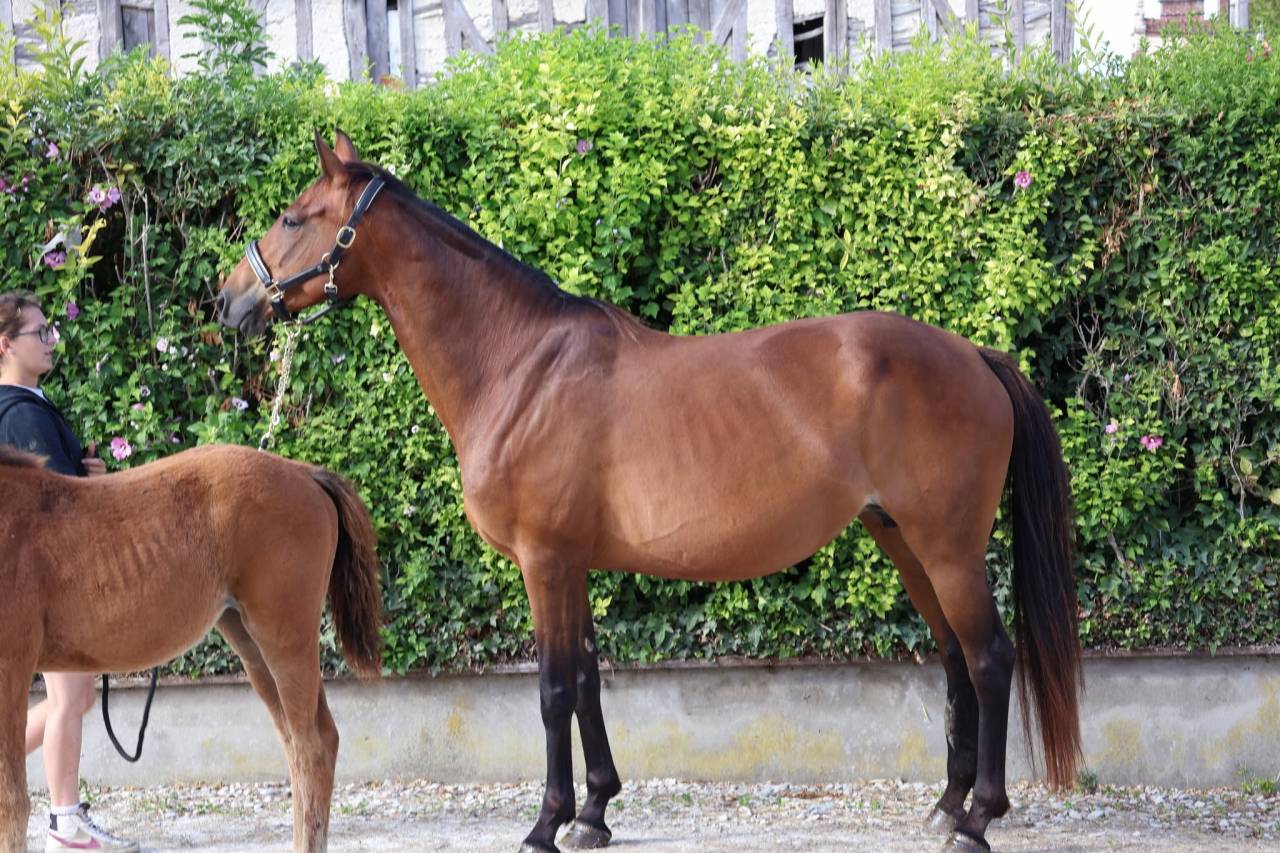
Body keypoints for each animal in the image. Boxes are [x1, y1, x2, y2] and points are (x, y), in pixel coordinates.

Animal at [0, 443, 382, 853]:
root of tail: (304, 472)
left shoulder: (10, 669)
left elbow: (11, 800)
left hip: (286, 638)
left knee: (312, 750)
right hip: (250, 642)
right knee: (303, 744)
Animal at [216, 131, 1082, 853]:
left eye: (293, 216)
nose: (229, 300)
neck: (519, 366)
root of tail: (973, 354)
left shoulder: (545, 559)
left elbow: (553, 686)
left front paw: (545, 824)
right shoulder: (573, 562)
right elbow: (588, 677)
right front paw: (596, 813)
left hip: (947, 545)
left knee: (990, 656)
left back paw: (976, 820)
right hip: (902, 538)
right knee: (955, 656)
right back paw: (946, 804)